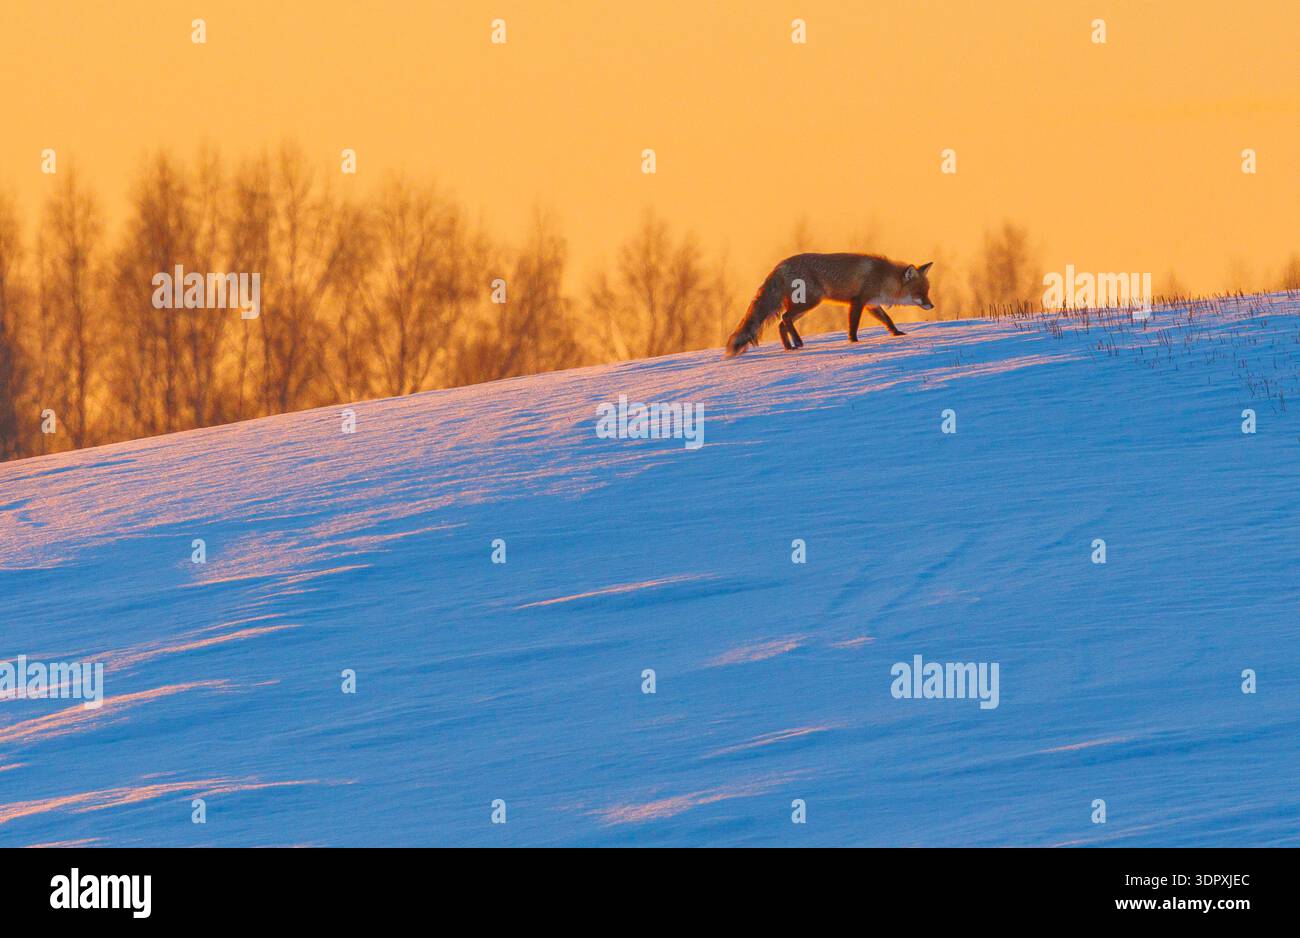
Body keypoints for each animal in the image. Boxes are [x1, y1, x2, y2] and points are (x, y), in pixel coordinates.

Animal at [724, 253, 934, 357]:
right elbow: (853, 325)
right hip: (810, 302)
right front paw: (854, 342)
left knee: (782, 323)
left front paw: (897, 333)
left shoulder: (871, 305)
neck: (883, 277)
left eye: (927, 291)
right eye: (920, 293)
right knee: (784, 318)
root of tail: (779, 266)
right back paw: (797, 342)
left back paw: (789, 347)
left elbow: (888, 320)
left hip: (803, 306)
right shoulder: (858, 301)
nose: (932, 306)